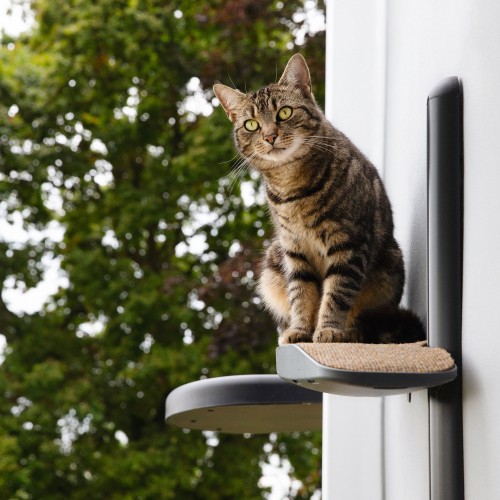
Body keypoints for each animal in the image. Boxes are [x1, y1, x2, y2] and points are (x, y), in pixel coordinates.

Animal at [213, 54, 424, 344]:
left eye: (285, 112)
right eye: (251, 124)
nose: (269, 136)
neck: (291, 187)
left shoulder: (348, 244)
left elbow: (337, 294)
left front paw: (328, 330)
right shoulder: (294, 249)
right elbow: (301, 295)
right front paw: (301, 330)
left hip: (390, 268)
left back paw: (350, 332)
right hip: (273, 260)